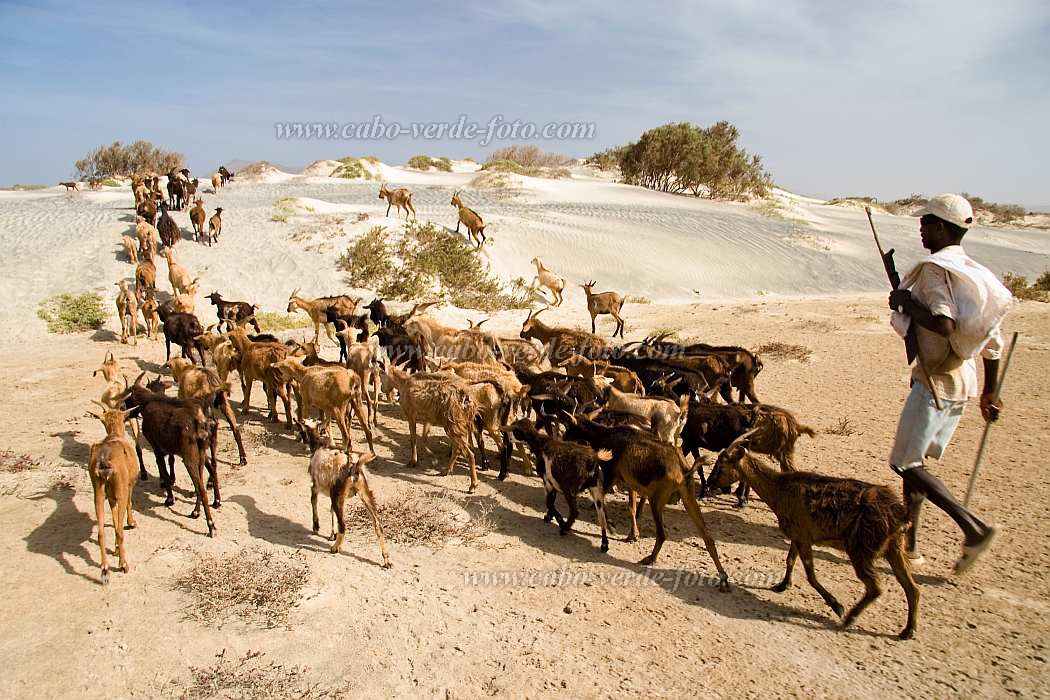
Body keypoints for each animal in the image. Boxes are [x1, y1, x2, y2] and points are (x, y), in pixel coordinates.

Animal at [86, 402, 141, 587]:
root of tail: (104, 461)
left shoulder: (110, 496)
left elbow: (115, 517)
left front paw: (116, 549)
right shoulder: (128, 486)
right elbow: (127, 509)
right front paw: (131, 523)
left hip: (98, 493)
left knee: (101, 532)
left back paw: (105, 570)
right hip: (120, 490)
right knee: (119, 531)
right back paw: (123, 564)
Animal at [296, 419, 390, 566]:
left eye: (302, 430)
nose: (300, 439)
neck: (319, 445)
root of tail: (354, 466)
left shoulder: (315, 486)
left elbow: (313, 502)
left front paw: (316, 527)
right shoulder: (331, 493)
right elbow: (331, 512)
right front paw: (331, 534)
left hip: (338, 497)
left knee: (343, 526)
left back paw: (335, 548)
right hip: (365, 494)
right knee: (378, 525)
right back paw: (386, 559)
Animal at [501, 419, 613, 549]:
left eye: (515, 430)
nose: (508, 439)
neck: (541, 444)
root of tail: (593, 459)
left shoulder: (548, 481)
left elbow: (549, 502)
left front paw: (558, 521)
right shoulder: (552, 484)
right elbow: (551, 502)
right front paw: (549, 517)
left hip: (569, 489)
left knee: (574, 511)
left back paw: (564, 529)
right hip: (596, 489)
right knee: (601, 516)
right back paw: (604, 545)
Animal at [705, 442, 919, 642]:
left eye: (722, 465)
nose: (709, 482)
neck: (779, 489)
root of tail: (899, 517)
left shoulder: (803, 536)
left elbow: (810, 575)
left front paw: (837, 606)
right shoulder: (797, 535)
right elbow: (790, 560)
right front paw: (783, 585)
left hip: (862, 550)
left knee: (875, 587)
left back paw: (849, 618)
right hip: (894, 549)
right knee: (912, 588)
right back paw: (908, 630)